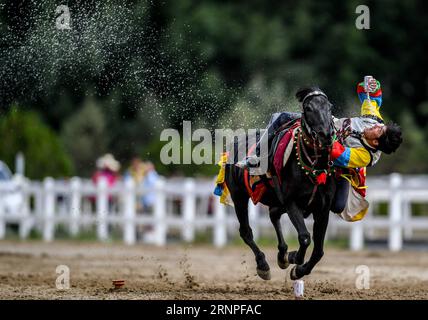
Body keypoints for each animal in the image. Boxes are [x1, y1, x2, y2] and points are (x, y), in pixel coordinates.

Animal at [224, 87, 338, 280]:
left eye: (329, 107)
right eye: (308, 108)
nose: (325, 135)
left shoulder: (323, 209)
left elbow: (319, 251)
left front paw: (298, 268)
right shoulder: (292, 203)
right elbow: (305, 237)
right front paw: (295, 258)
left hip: (275, 200)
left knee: (273, 215)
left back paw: (282, 254)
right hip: (239, 196)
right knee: (246, 232)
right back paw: (263, 265)